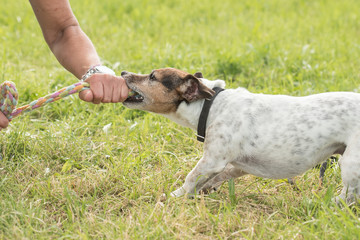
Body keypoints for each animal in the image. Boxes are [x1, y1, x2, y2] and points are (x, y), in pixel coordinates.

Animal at [121, 67, 360, 204]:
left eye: (152, 77)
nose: (123, 73)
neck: (211, 105)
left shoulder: (212, 160)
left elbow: (191, 177)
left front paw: (173, 197)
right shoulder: (236, 165)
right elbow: (216, 177)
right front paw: (200, 192)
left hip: (349, 163)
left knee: (349, 197)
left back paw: (322, 204)